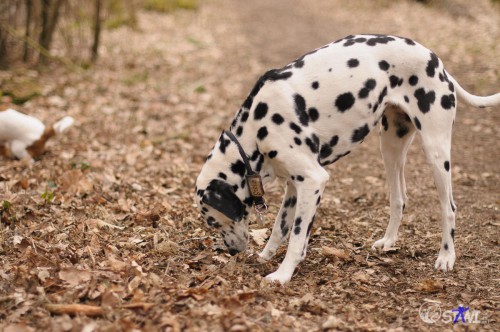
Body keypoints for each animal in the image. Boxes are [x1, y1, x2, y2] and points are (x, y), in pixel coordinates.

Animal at [194, 33, 500, 282]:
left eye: (212, 221)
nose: (231, 252)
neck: (256, 127)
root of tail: (438, 63)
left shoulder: (313, 181)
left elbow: (296, 237)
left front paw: (282, 275)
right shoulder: (294, 186)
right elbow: (281, 228)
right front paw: (266, 257)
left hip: (436, 151)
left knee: (449, 207)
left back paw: (446, 256)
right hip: (390, 147)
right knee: (399, 198)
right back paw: (388, 241)